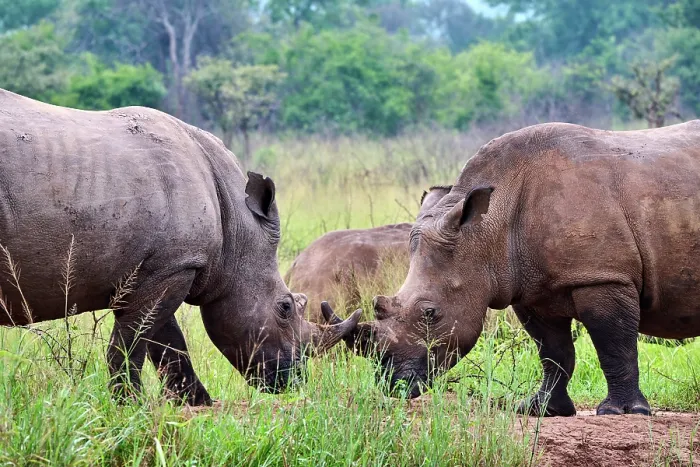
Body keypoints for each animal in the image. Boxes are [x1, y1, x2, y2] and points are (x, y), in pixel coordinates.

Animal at [0, 89, 360, 405]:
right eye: (285, 308)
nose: (295, 379)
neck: (237, 228)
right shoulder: (173, 266)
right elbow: (133, 340)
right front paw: (128, 405)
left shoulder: (162, 267)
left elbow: (166, 340)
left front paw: (197, 402)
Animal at [330, 121, 700, 416]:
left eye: (430, 313)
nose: (391, 383)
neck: (485, 232)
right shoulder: (531, 288)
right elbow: (553, 351)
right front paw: (541, 409)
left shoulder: (602, 276)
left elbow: (614, 345)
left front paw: (620, 412)